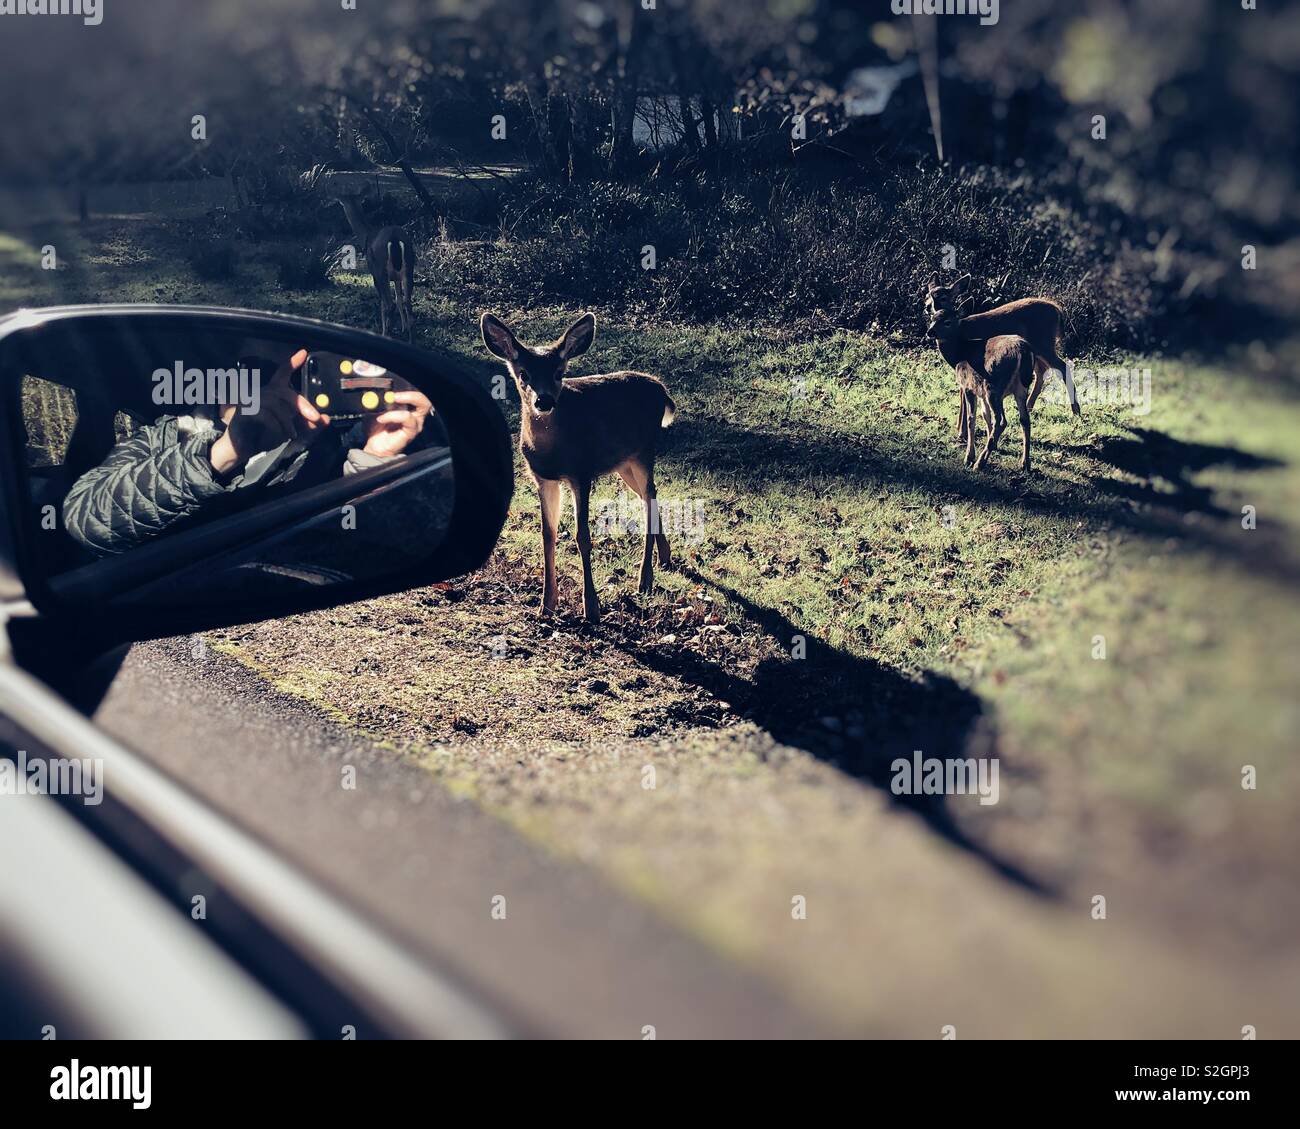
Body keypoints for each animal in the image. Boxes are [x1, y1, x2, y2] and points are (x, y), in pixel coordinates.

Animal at [332, 184, 413, 340]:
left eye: (342, 202)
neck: (367, 235)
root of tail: (394, 239)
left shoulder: (374, 273)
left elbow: (383, 304)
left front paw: (386, 330)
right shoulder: (396, 278)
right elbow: (399, 299)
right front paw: (404, 328)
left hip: (381, 269)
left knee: (389, 305)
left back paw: (387, 334)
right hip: (409, 266)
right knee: (408, 303)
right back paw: (411, 338)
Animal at [480, 313, 681, 621]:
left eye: (559, 372)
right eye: (524, 374)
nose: (544, 401)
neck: (553, 450)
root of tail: (661, 389)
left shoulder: (582, 472)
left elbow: (582, 536)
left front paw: (592, 607)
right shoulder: (543, 478)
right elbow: (547, 534)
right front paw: (546, 604)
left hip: (644, 451)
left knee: (648, 498)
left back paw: (645, 579)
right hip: (623, 462)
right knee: (650, 495)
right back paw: (665, 555)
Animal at [930, 270, 1081, 442]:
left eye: (943, 297)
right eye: (928, 294)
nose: (929, 307)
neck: (961, 332)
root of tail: (1058, 310)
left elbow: (964, 395)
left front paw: (961, 432)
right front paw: (959, 428)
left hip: (1043, 342)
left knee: (1062, 367)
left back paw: (1075, 410)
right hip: (1038, 348)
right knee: (1041, 371)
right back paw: (1029, 405)